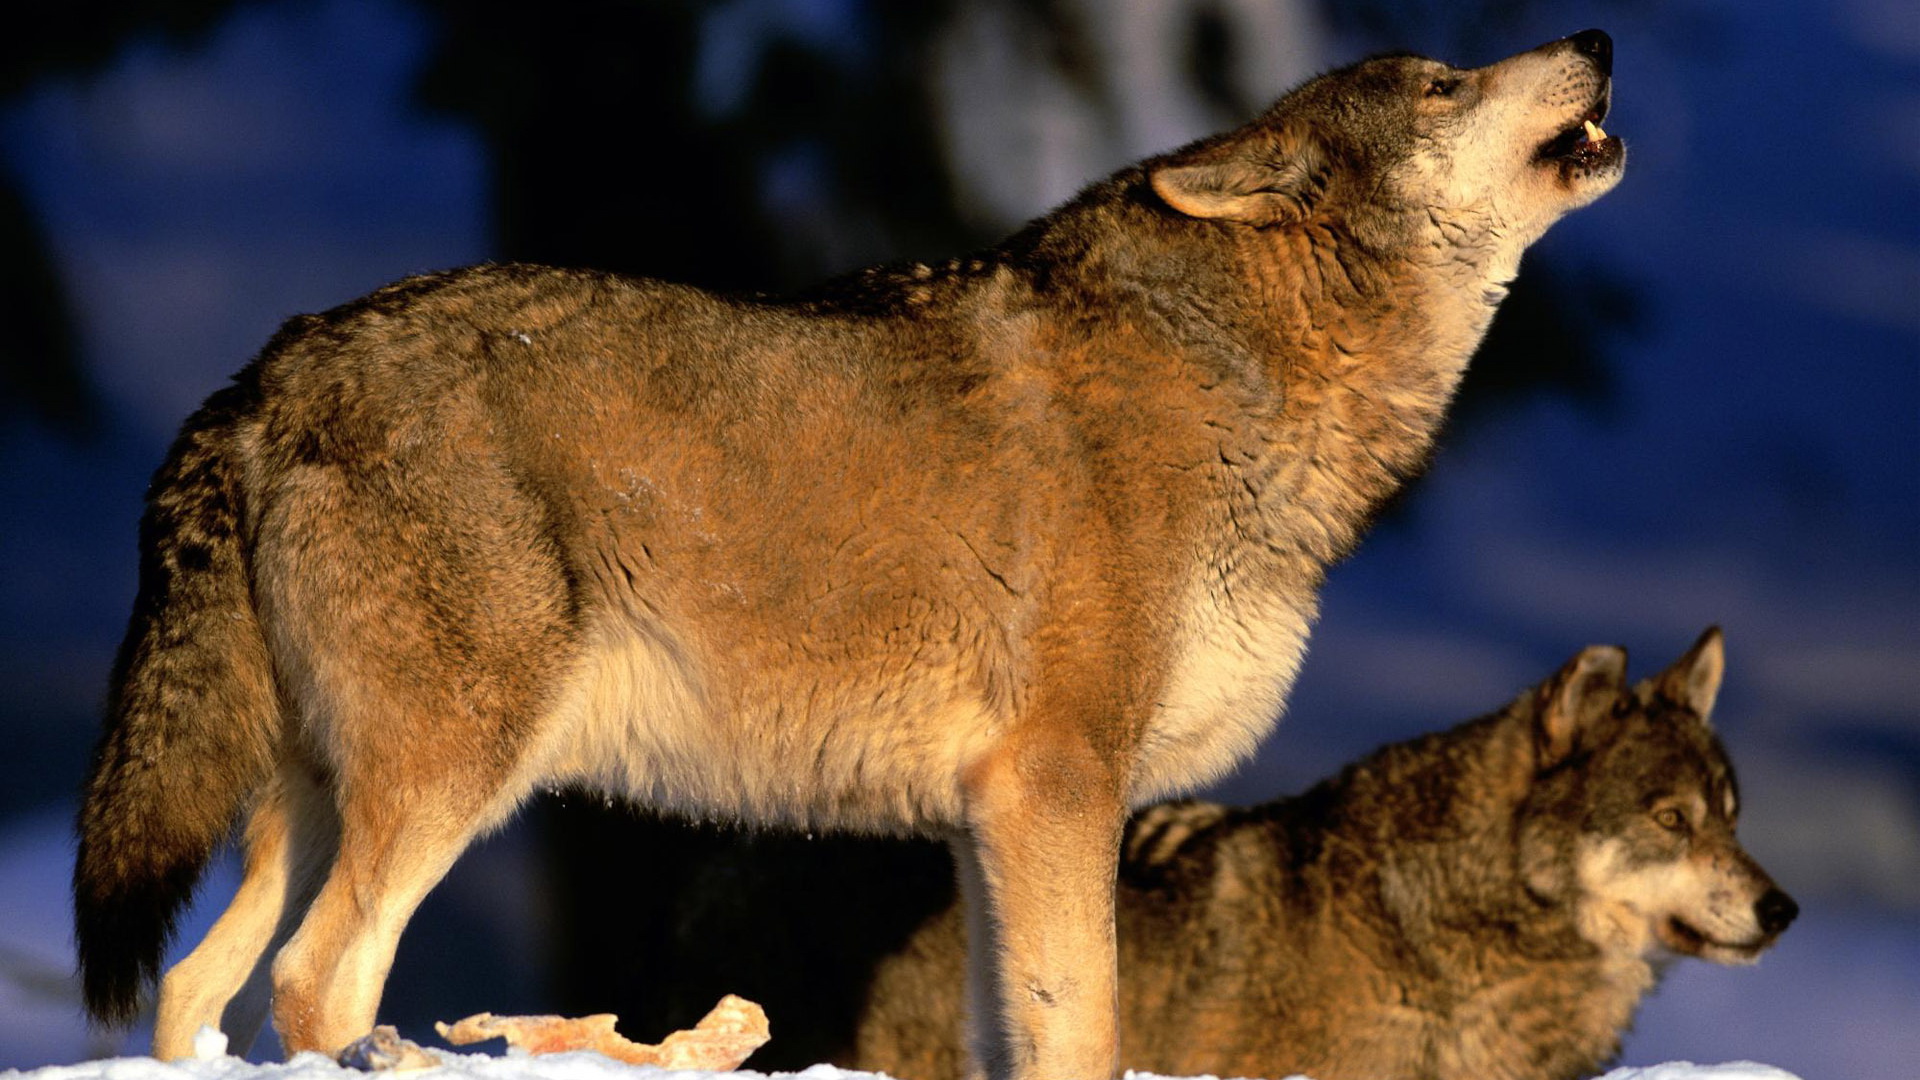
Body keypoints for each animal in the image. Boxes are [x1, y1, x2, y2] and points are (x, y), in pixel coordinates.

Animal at [82, 29, 1628, 1068]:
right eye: (1441, 83)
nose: (1600, 38)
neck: (1242, 378)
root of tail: (269, 371)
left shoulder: (988, 825)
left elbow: (1011, 1037)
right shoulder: (1059, 787)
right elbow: (1085, 1034)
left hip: (312, 801)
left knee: (195, 988)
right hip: (446, 785)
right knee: (313, 984)